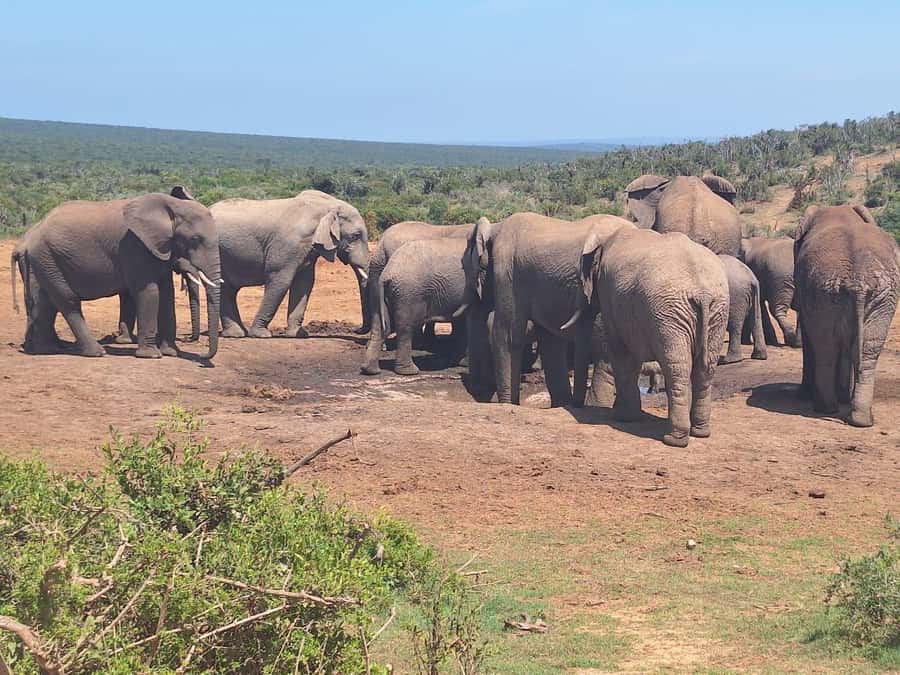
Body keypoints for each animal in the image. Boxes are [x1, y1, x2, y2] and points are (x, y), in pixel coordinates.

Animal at [10, 193, 221, 359]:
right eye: (195, 239)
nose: (203, 354)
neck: (172, 206)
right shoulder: (134, 246)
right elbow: (149, 292)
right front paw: (151, 355)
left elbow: (166, 293)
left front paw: (171, 353)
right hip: (47, 257)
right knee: (67, 300)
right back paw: (95, 352)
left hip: (44, 261)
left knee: (44, 302)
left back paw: (47, 349)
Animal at [207, 190, 369, 339]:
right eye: (356, 236)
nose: (356, 330)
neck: (327, 206)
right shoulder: (288, 245)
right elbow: (281, 281)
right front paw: (261, 335)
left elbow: (304, 284)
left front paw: (298, 335)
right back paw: (237, 334)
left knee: (228, 289)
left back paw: (238, 333)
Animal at [462, 212, 635, 408]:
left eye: (464, 267)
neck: (496, 227)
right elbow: (550, 341)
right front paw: (561, 404)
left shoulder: (507, 272)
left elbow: (508, 335)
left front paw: (508, 404)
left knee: (606, 360)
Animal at [566, 225, 730, 447]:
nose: (576, 405)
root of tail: (702, 292)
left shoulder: (610, 297)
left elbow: (622, 354)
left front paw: (624, 418)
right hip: (716, 311)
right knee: (705, 368)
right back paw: (700, 432)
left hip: (670, 313)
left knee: (677, 367)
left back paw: (674, 439)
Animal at [792, 204, 900, 427]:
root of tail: (857, 282)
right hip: (866, 295)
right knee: (862, 349)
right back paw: (858, 418)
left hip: (834, 291)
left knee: (827, 347)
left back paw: (829, 408)